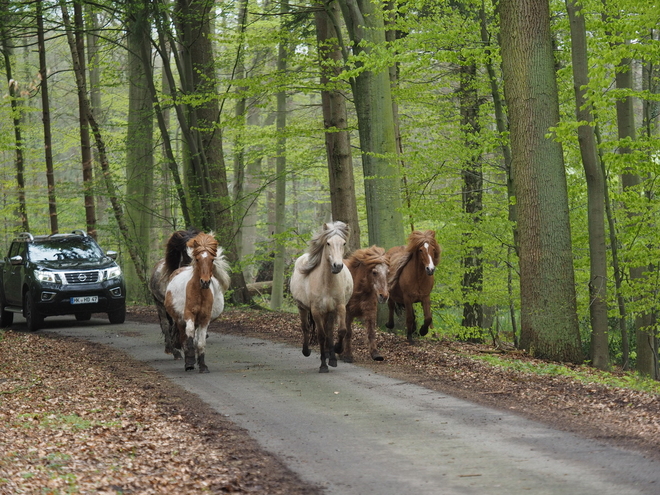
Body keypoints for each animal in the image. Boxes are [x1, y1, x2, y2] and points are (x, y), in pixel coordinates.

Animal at [290, 223, 354, 374]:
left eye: (343, 243)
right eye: (328, 243)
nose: (337, 266)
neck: (327, 283)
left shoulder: (340, 307)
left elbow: (341, 330)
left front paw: (337, 349)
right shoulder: (316, 311)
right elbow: (321, 336)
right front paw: (323, 365)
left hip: (329, 312)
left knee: (329, 331)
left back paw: (332, 358)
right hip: (302, 308)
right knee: (306, 328)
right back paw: (306, 351)